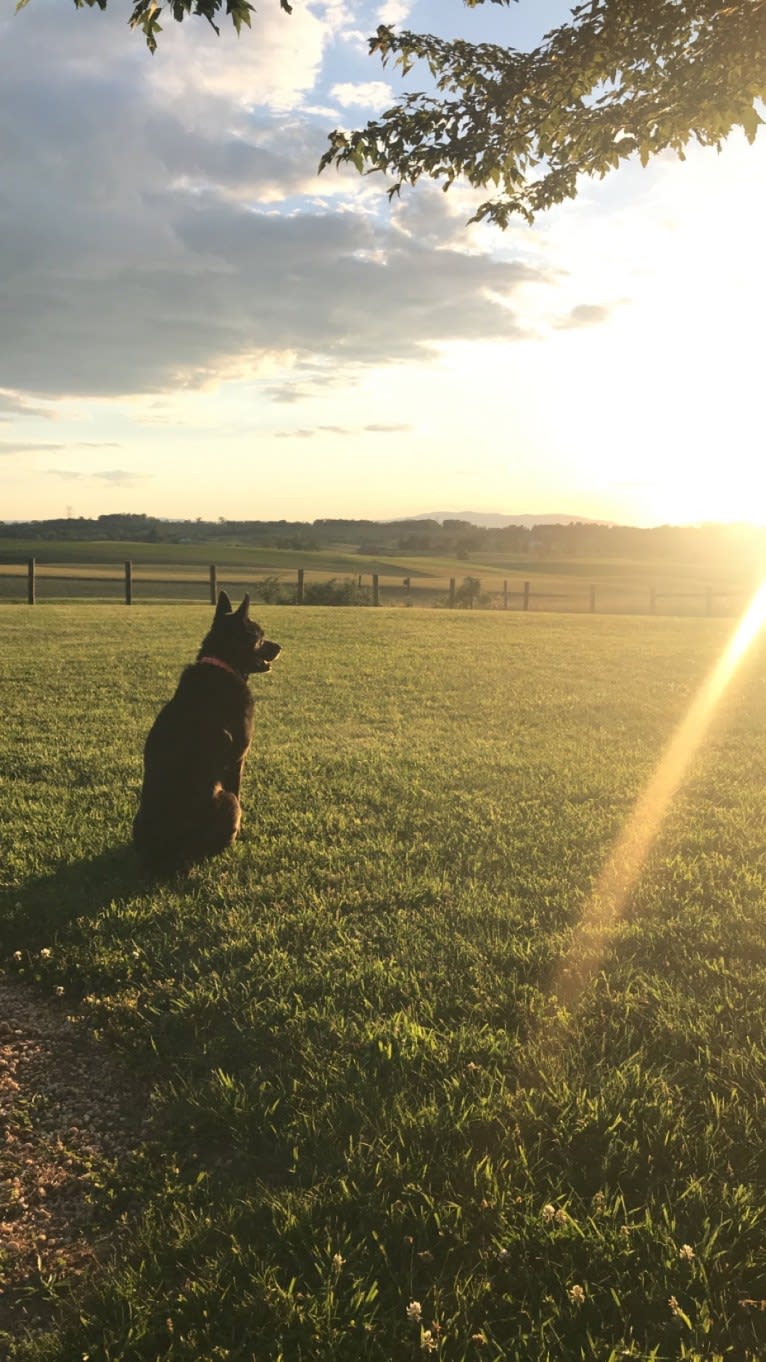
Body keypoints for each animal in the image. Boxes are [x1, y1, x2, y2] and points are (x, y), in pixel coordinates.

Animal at [133, 588, 280, 871]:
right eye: (260, 636)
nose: (280, 647)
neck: (222, 665)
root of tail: (165, 852)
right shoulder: (238, 759)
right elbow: (239, 790)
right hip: (227, 801)